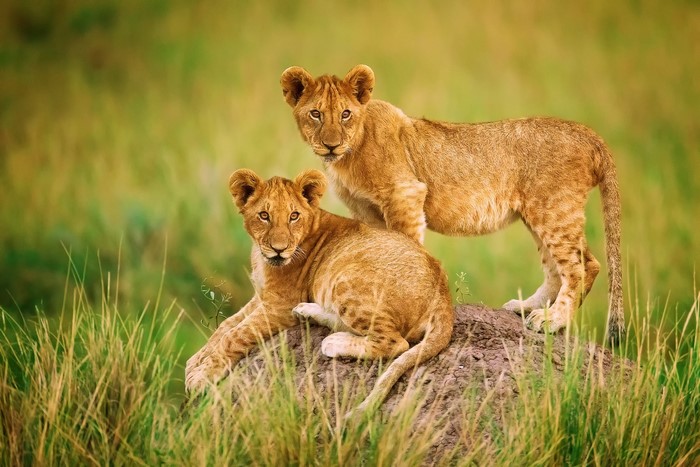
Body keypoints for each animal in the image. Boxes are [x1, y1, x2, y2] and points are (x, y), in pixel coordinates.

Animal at [185, 168, 453, 416]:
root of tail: (443, 291)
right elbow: (225, 326)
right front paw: (195, 362)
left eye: (294, 216)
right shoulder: (262, 297)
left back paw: (333, 342)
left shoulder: (279, 306)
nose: (279, 250)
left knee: (396, 343)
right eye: (264, 215)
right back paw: (308, 312)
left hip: (347, 278)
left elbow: (235, 335)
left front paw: (202, 376)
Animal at [280, 64, 625, 344]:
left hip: (553, 209)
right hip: (540, 212)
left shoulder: (405, 193)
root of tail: (588, 134)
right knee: (561, 267)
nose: (331, 145)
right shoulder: (367, 211)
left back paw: (553, 321)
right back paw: (526, 308)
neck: (349, 155)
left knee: (582, 266)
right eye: (315, 114)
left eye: (345, 114)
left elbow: (406, 244)